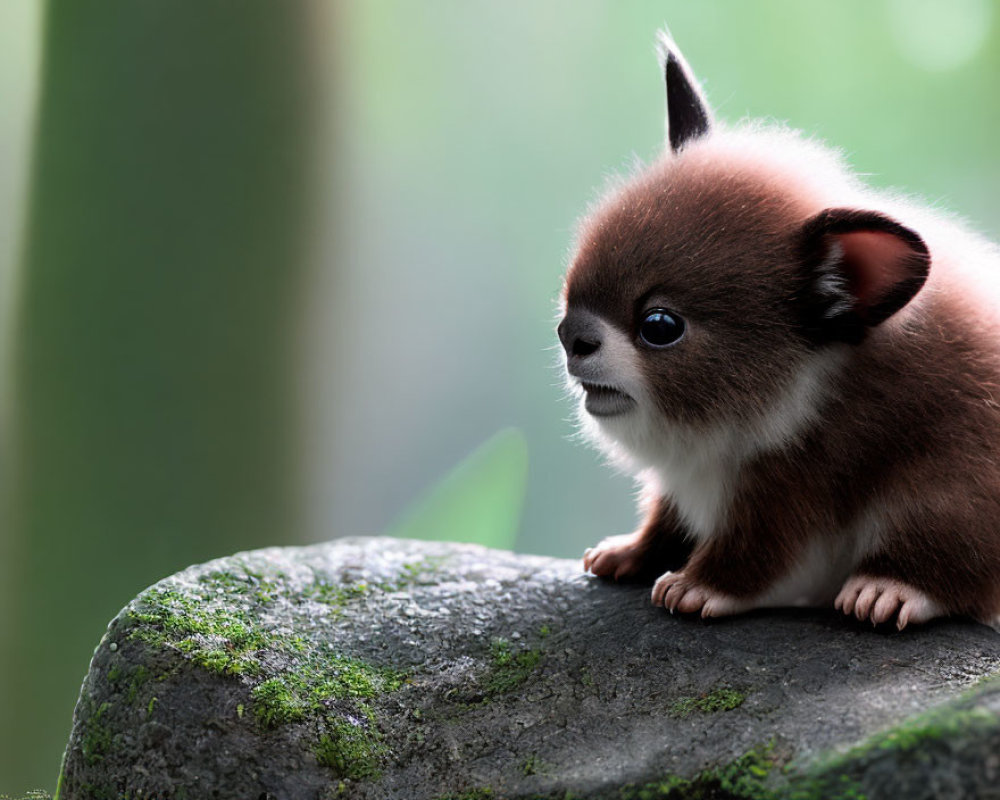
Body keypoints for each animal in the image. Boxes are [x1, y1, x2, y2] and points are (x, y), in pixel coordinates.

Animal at [560, 32, 1000, 632]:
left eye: (660, 326)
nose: (569, 336)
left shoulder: (800, 482)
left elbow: (756, 551)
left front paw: (698, 585)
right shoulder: (686, 481)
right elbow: (666, 519)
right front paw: (628, 553)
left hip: (949, 490)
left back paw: (888, 588)